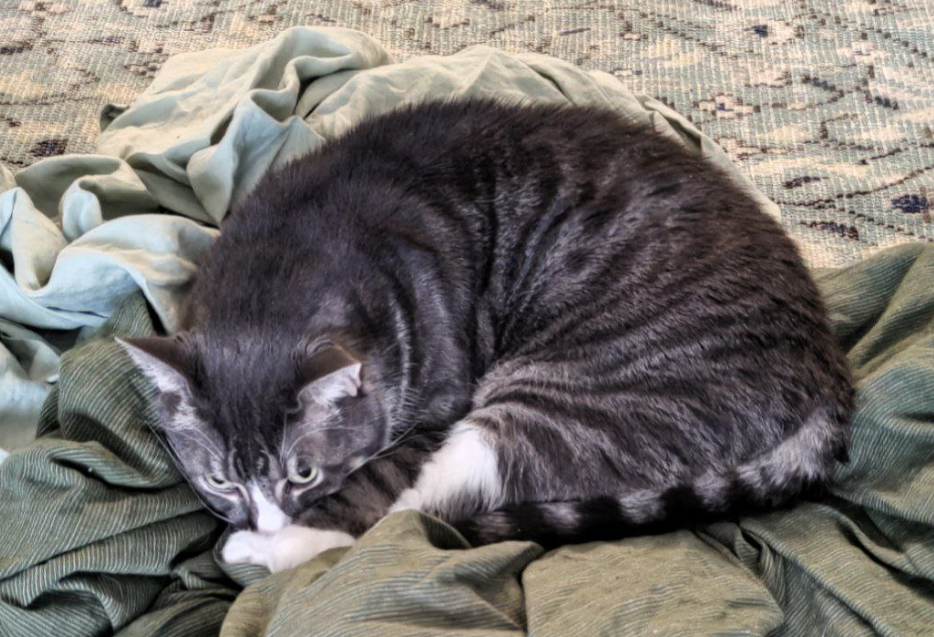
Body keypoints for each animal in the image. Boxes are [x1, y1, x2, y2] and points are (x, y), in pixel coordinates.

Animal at [119, 98, 856, 572]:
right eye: (219, 480)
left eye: (303, 471)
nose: (265, 520)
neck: (285, 258)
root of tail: (828, 370)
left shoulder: (438, 398)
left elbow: (373, 488)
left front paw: (284, 536)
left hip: (564, 404)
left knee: (429, 503)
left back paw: (269, 552)